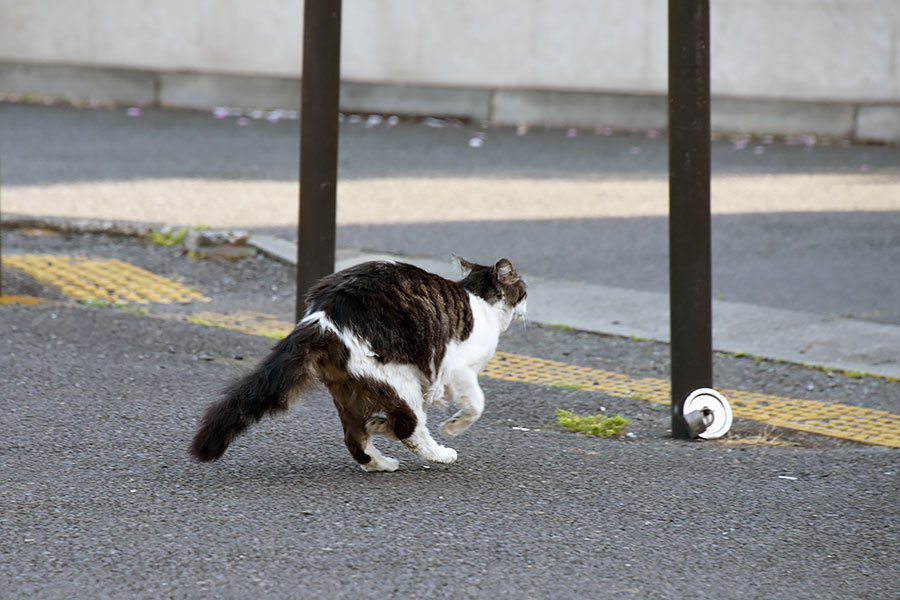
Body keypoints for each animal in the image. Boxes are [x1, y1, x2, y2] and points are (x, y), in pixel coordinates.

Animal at [190, 255, 528, 472]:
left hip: (352, 387)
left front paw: (379, 425)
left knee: (356, 437)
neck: (480, 301)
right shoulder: (458, 370)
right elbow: (475, 405)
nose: (527, 302)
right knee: (409, 428)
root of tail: (322, 318)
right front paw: (452, 427)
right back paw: (440, 454)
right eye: (523, 290)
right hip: (398, 379)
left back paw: (381, 459)